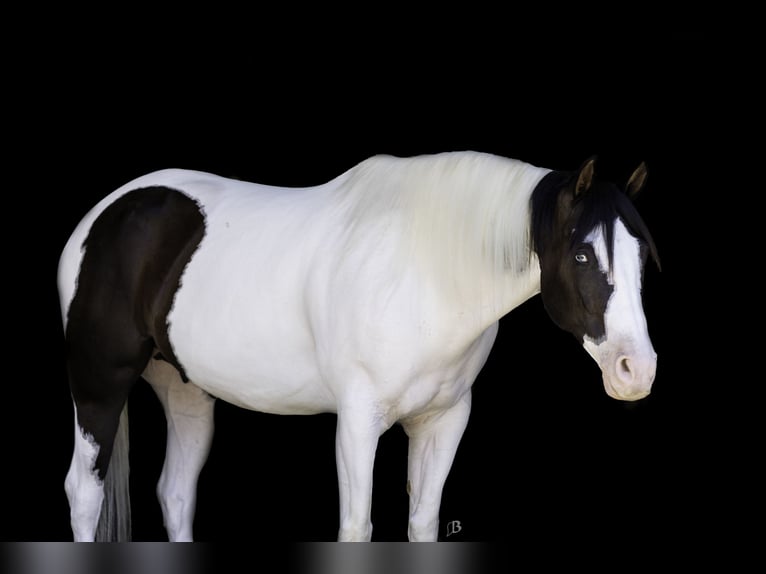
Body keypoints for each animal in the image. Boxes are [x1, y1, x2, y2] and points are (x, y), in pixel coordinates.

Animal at [58, 151, 660, 544]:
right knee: (84, 492)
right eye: (582, 255)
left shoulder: (444, 421)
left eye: (641, 257)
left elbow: (422, 523)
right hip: (98, 387)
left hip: (185, 391)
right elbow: (356, 527)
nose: (637, 371)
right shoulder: (356, 421)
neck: (428, 274)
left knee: (177, 495)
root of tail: (107, 212)